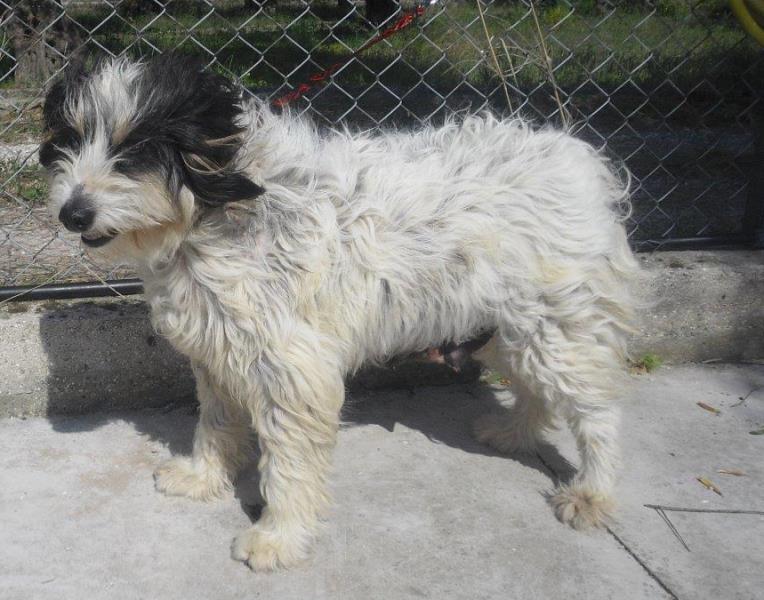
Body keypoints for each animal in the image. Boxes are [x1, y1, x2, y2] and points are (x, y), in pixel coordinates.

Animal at [41, 54, 640, 571]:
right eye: (70, 139)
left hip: (554, 329)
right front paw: (204, 476)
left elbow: (288, 463)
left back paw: (593, 492)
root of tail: (575, 158)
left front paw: (279, 536)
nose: (73, 213)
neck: (219, 213)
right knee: (535, 390)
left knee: (599, 414)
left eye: (135, 148)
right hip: (506, 327)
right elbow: (215, 422)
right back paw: (515, 433)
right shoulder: (218, 350)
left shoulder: (293, 369)